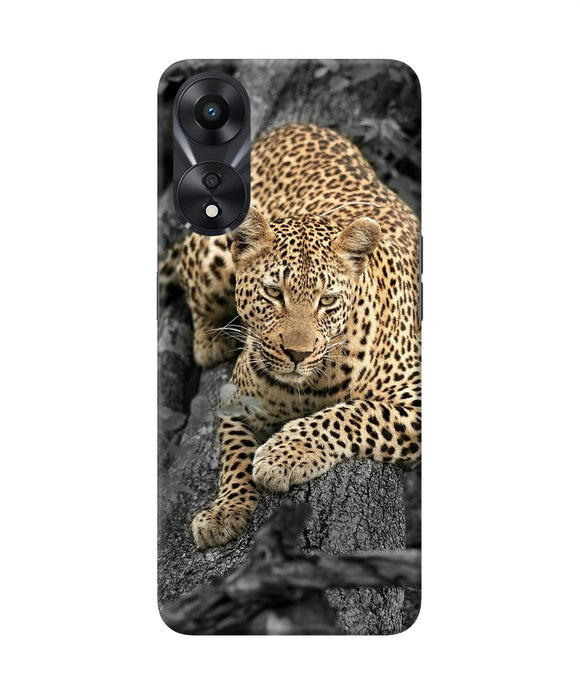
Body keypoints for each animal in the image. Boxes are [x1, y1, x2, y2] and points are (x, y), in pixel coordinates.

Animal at [160, 123, 421, 550]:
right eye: (273, 293)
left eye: (326, 300)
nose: (297, 354)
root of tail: (291, 127)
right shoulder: (235, 400)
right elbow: (234, 455)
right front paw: (224, 511)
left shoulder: (415, 398)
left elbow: (353, 413)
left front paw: (283, 455)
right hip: (212, 254)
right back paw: (211, 340)